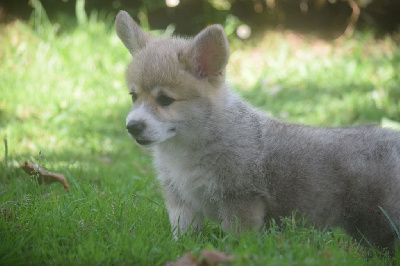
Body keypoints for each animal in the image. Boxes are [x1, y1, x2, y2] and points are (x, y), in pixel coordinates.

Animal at [114, 9, 398, 251]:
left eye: (165, 100)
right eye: (133, 96)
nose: (132, 126)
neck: (188, 147)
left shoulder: (240, 199)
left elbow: (237, 239)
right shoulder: (180, 200)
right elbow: (183, 234)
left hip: (379, 222)